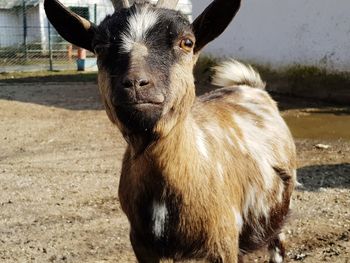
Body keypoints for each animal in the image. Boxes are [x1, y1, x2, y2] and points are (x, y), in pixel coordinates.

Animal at [43, 1, 296, 262]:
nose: (136, 83)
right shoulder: (142, 244)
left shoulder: (223, 241)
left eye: (187, 42)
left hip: (279, 215)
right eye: (99, 47)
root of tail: (251, 87)